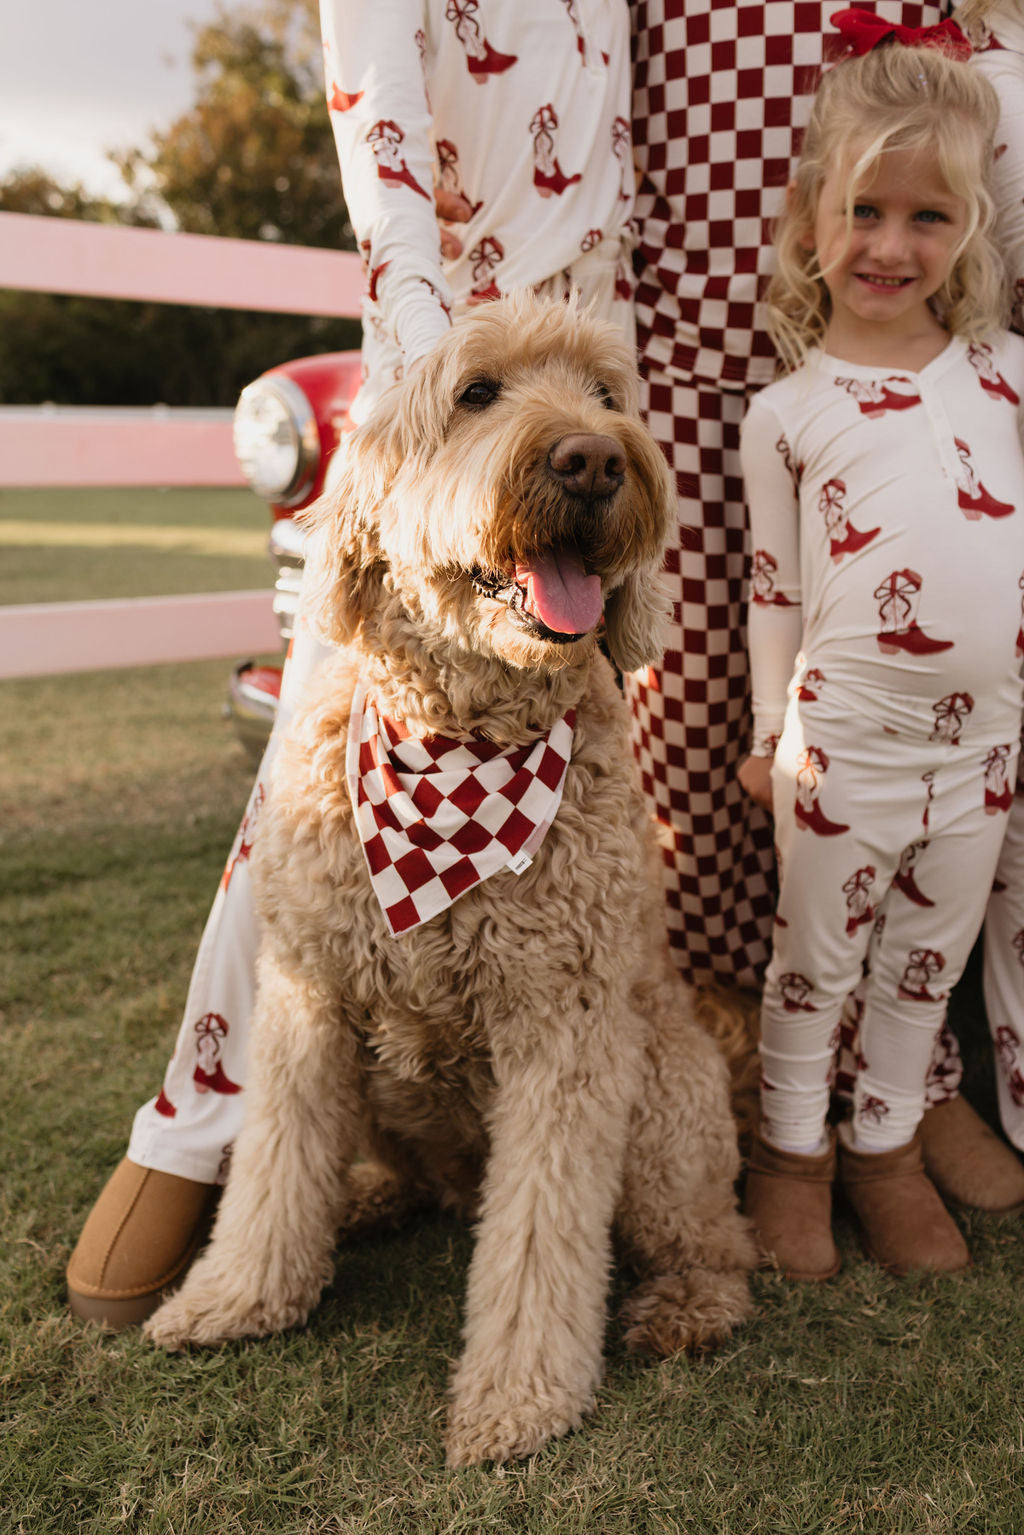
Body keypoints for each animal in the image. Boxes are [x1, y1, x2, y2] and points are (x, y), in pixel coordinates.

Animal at [144, 293, 758, 1467]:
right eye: (477, 392)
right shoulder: (306, 996)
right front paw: (236, 1296)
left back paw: (685, 1305)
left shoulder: (566, 1035)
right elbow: (273, 1170)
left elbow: (540, 1234)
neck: (459, 740)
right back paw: (369, 1195)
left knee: (717, 1238)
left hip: (664, 1100)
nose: (594, 458)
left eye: (609, 393)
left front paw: (519, 1396)